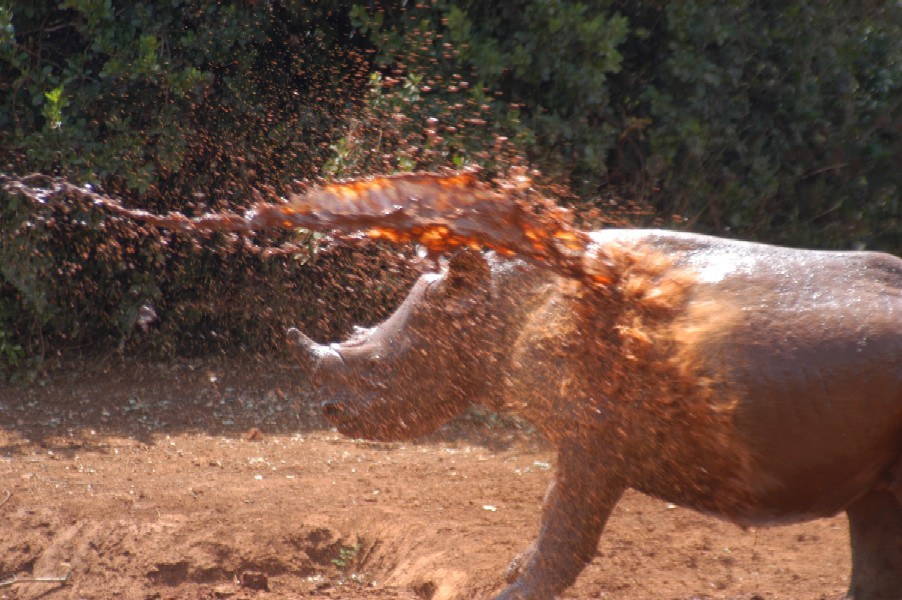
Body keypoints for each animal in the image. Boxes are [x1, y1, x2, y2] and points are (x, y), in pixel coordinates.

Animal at [288, 231, 902, 600]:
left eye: (378, 367)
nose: (328, 411)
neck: (495, 304)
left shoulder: (593, 435)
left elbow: (564, 531)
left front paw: (512, 592)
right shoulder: (584, 434)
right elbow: (551, 516)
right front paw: (511, 570)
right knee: (875, 521)